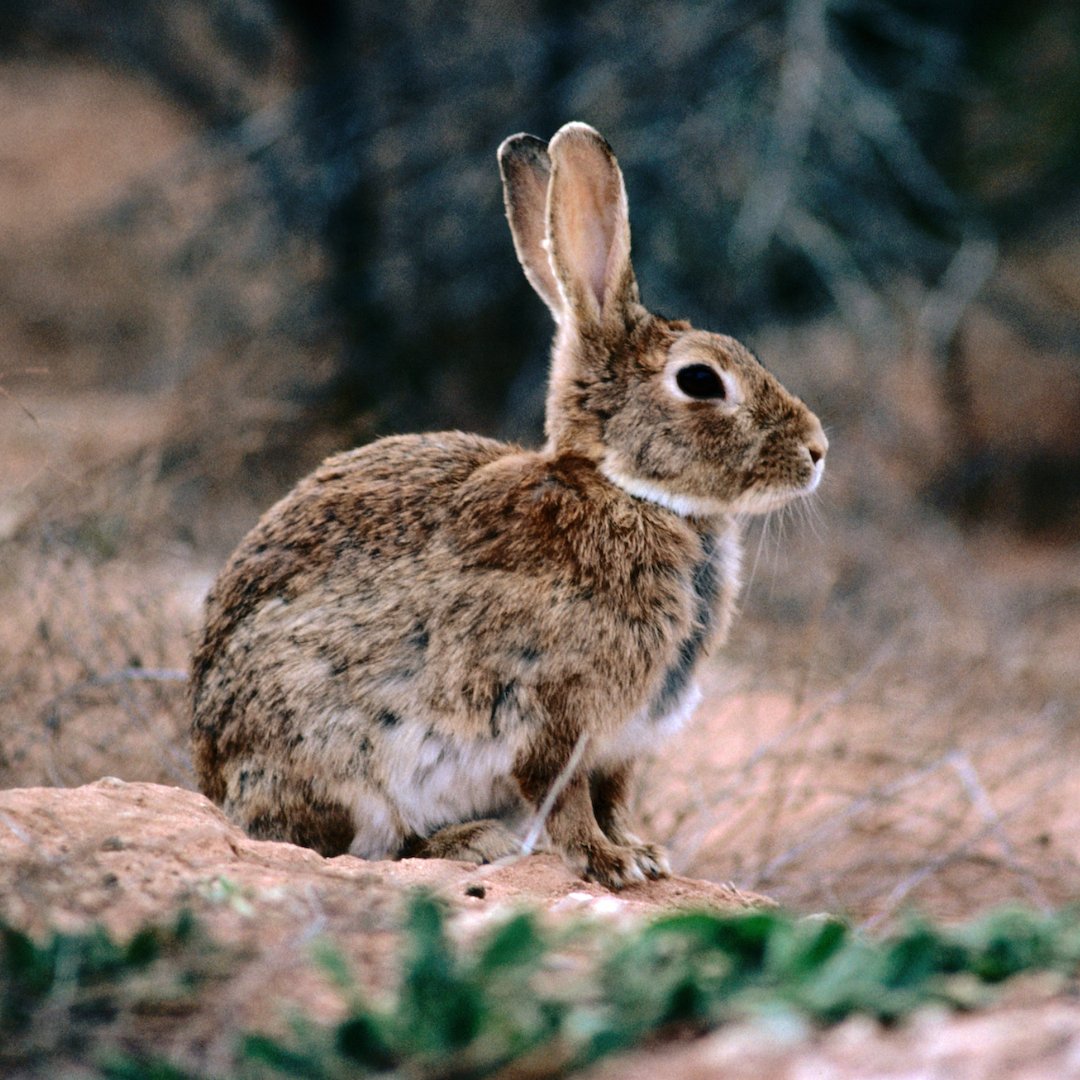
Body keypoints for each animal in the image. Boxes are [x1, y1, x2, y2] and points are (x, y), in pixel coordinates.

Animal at [190, 121, 827, 890]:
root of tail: (216, 787)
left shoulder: (621, 742)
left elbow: (612, 797)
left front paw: (643, 854)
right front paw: (609, 865)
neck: (627, 491)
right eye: (700, 380)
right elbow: (565, 797)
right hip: (341, 760)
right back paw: (471, 842)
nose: (818, 449)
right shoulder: (551, 714)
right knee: (357, 844)